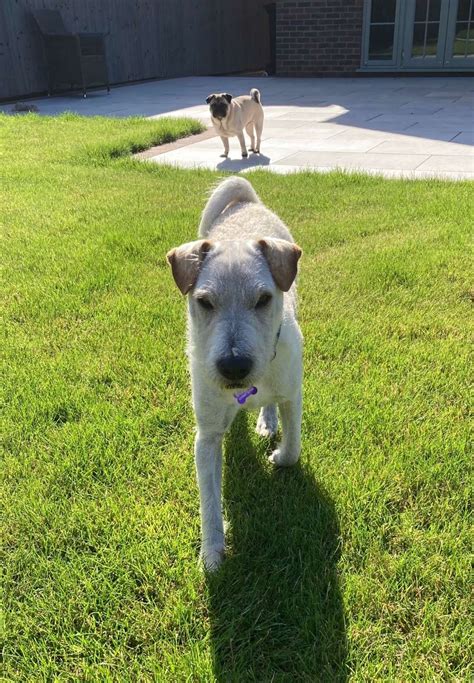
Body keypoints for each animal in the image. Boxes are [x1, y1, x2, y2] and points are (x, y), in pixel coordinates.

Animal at [167, 176, 302, 572]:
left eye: (264, 299)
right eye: (204, 302)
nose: (234, 366)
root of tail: (243, 201)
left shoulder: (293, 395)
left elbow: (293, 447)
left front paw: (278, 456)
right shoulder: (207, 435)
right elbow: (209, 501)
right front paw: (212, 553)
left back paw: (266, 420)